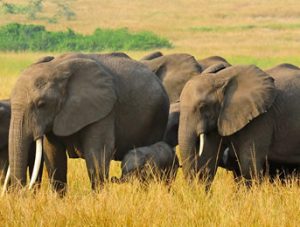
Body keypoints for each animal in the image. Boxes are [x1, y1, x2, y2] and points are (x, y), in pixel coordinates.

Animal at [8, 51, 170, 193]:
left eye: (41, 104)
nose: (22, 193)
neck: (57, 67)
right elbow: (53, 155)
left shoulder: (103, 109)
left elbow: (97, 153)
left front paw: (99, 199)